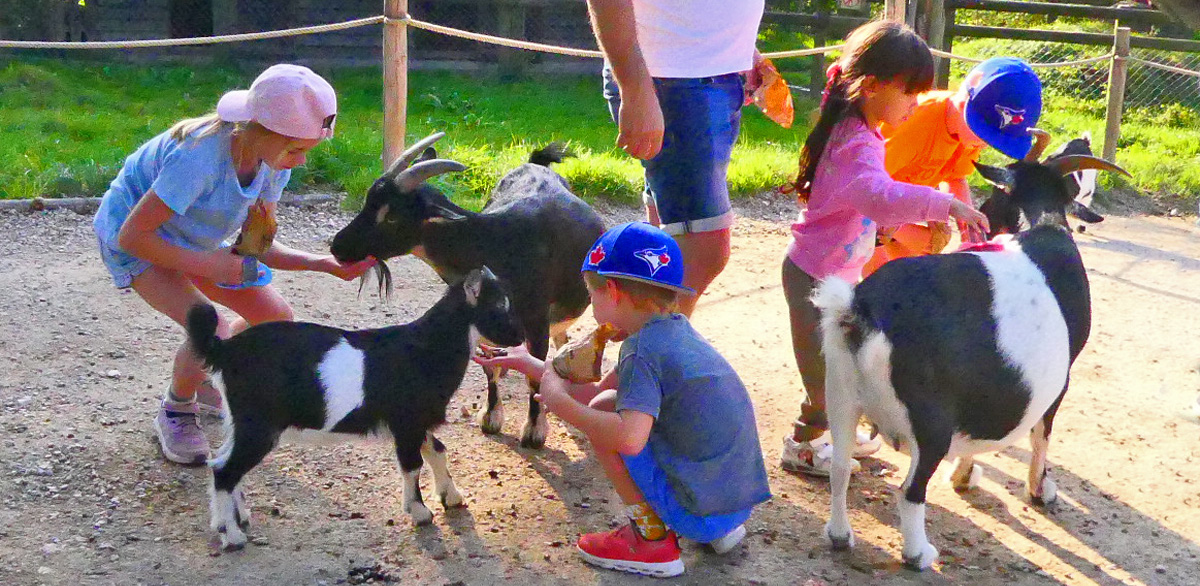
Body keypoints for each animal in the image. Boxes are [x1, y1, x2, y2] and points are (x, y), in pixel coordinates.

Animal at [184, 267, 523, 552]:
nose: (520, 336)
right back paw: (232, 536)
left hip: (241, 420)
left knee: (222, 460)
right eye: (498, 307)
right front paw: (419, 511)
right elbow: (412, 465)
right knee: (225, 469)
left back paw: (234, 518)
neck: (427, 349)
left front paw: (451, 497)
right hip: (259, 425)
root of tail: (225, 350)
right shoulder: (407, 421)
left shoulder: (415, 421)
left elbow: (437, 450)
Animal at [328, 131, 604, 449]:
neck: (493, 244)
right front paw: (491, 417)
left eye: (392, 216)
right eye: (368, 201)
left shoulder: (535, 320)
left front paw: (534, 430)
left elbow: (534, 374)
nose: (338, 246)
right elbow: (489, 366)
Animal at [811, 130, 1128, 569]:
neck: (1041, 227)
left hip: (841, 392)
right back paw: (919, 554)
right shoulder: (1060, 382)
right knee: (910, 491)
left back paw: (840, 536)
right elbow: (1041, 434)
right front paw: (1040, 490)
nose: (982, 218)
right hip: (930, 420)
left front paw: (964, 476)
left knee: (841, 467)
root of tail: (862, 310)